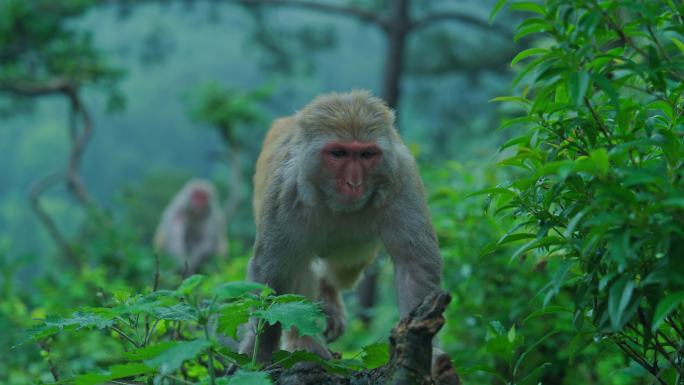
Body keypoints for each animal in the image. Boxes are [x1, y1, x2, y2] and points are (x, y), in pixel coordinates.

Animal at [240, 88, 444, 362]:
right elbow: (273, 274)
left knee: (345, 268)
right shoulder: (285, 191)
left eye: (367, 154)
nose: (354, 184)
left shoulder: (402, 181)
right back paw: (305, 342)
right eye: (338, 154)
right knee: (297, 264)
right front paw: (258, 352)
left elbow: (414, 265)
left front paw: (422, 346)